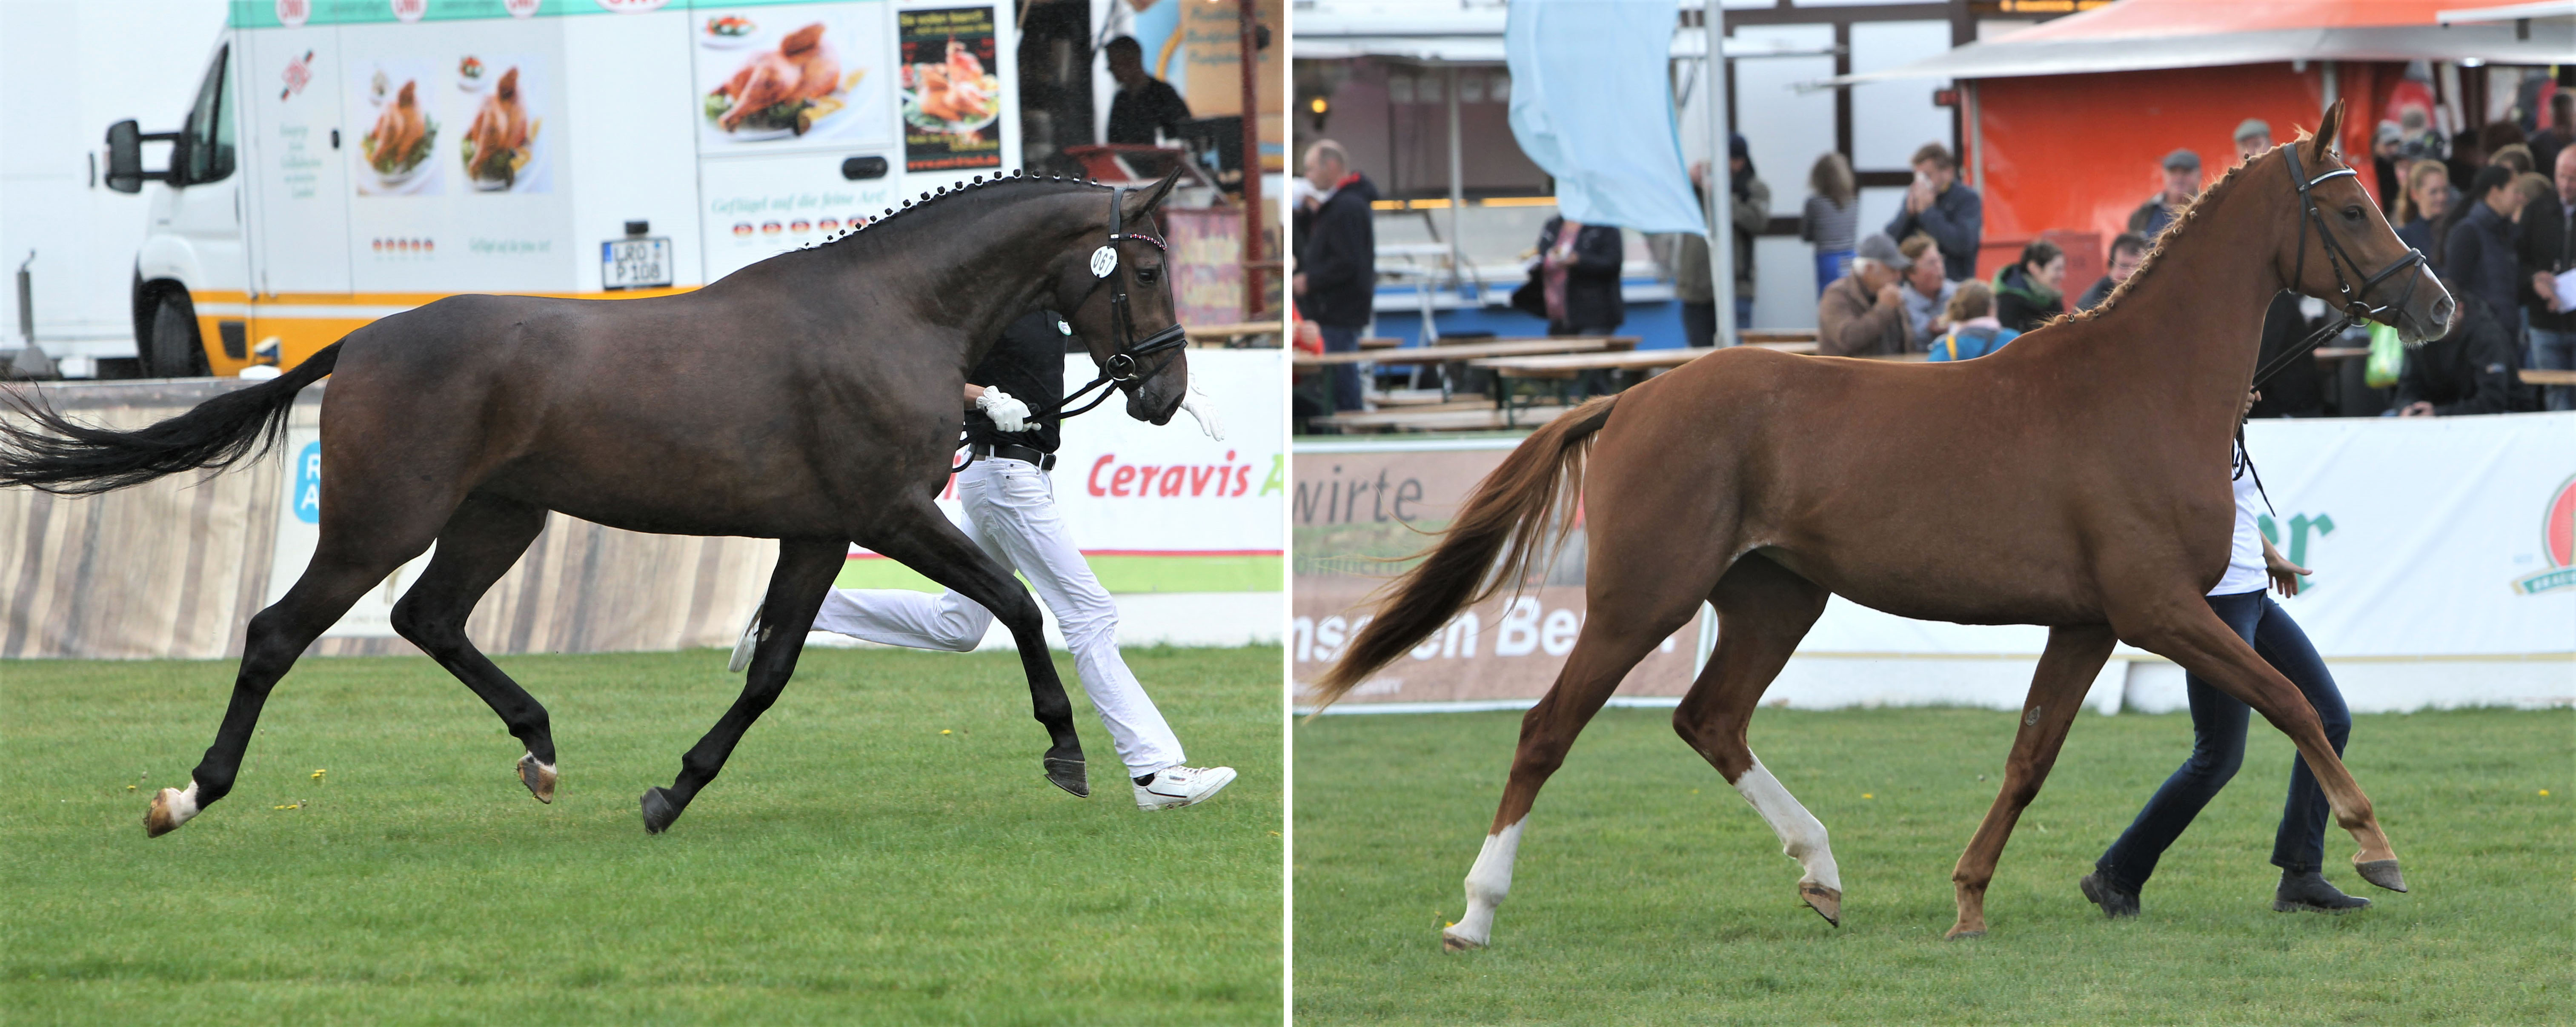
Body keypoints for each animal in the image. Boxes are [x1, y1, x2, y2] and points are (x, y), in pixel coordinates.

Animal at [5, 172, 1190, 839]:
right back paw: (188, 795)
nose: (1168, 390)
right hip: (379, 523)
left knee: (427, 617)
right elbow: (1020, 607)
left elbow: (770, 669)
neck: (890, 310)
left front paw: (673, 791)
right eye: (1144, 270)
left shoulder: (818, 529)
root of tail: (364, 340)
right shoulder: (887, 513)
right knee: (274, 635)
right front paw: (1067, 751)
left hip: (497, 517)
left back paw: (538, 746)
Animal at [1319, 104, 2442, 947]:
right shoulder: (2157, 607)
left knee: (1709, 719)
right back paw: (1475, 913)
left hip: (1775, 596)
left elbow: (2029, 757)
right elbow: (2288, 702)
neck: (2138, 388)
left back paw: (1819, 871)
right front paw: (2373, 847)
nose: (2436, 307)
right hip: (1642, 598)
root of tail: (1632, 398)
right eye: (2351, 207)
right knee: (1546, 730)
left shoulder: (2087, 621)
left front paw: (1968, 899)